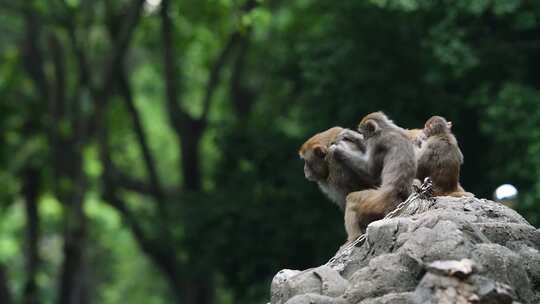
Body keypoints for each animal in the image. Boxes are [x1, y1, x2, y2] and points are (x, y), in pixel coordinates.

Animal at [334, 111, 418, 242]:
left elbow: (370, 171)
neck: (386, 128)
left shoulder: (376, 143)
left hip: (375, 202)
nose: (364, 137)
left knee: (352, 199)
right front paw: (350, 135)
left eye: (365, 133)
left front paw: (338, 151)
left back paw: (355, 238)